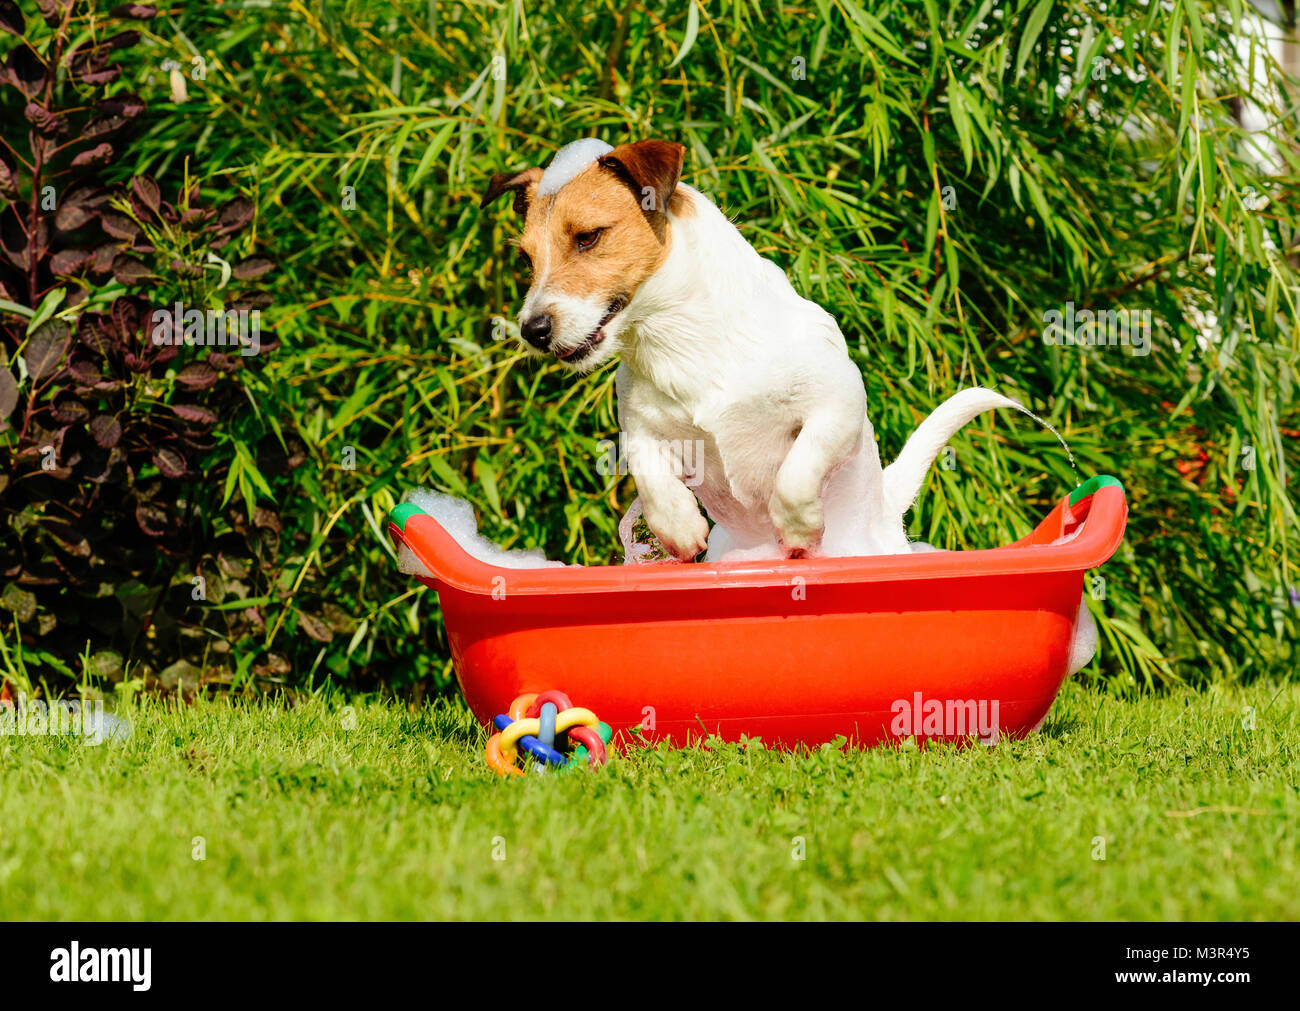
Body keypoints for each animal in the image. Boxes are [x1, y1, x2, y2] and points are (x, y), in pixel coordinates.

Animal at [480, 135, 1024, 563]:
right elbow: (647, 471)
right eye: (526, 259)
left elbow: (797, 471)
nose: (532, 330)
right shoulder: (641, 427)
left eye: (588, 237)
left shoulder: (838, 405)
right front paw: (679, 527)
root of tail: (886, 510)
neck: (681, 340)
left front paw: (799, 529)